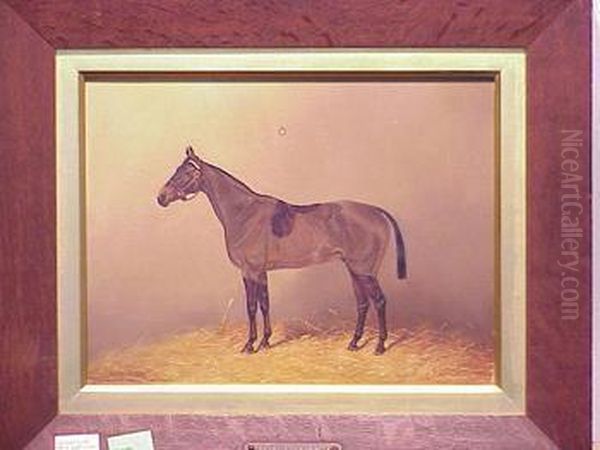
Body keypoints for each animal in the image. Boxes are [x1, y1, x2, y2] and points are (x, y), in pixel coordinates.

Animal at [157, 148, 406, 356]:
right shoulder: (261, 272)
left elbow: (251, 307)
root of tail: (376, 211)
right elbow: (265, 304)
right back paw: (354, 343)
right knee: (363, 303)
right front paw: (266, 341)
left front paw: (250, 345)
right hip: (354, 270)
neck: (244, 214)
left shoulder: (249, 271)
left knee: (379, 301)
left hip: (364, 271)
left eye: (185, 173)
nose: (161, 197)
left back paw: (380, 346)